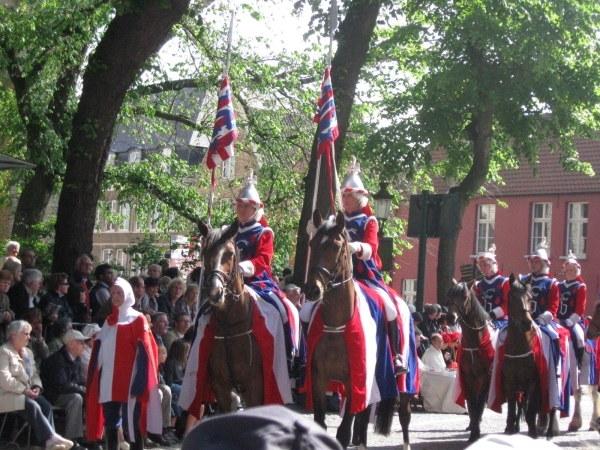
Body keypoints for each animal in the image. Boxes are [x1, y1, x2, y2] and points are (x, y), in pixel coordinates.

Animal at [197, 221, 264, 412]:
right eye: (205, 252)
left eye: (231, 254)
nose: (215, 292)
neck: (231, 326)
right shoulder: (220, 386)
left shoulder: (256, 385)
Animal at [304, 212, 398, 450]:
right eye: (312, 244)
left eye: (336, 246)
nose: (312, 290)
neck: (336, 326)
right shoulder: (318, 377)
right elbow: (320, 423)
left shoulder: (356, 378)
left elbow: (344, 431)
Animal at [448, 280, 494, 442]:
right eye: (449, 295)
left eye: (465, 296)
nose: (450, 318)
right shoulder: (468, 377)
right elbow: (471, 403)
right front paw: (473, 430)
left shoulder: (484, 377)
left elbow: (479, 402)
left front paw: (476, 432)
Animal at [504, 274, 556, 440]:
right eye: (513, 297)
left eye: (530, 298)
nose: (526, 322)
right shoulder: (510, 383)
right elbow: (512, 410)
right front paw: (510, 428)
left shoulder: (533, 383)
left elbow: (531, 413)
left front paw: (533, 433)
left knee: (553, 407)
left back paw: (550, 432)